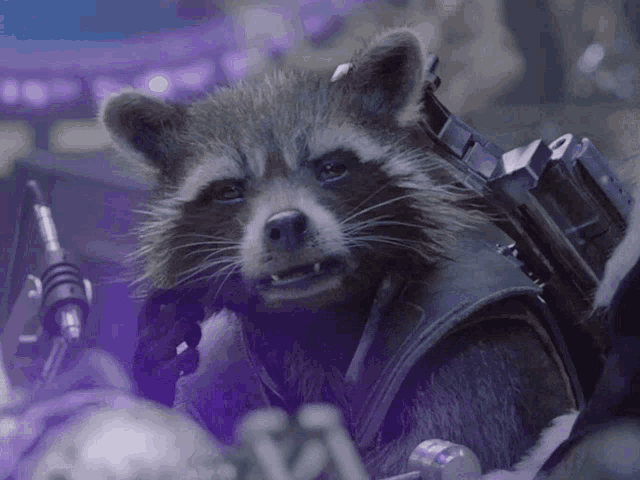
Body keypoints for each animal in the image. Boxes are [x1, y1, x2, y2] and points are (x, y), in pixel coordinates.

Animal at [101, 29, 577, 477]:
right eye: (229, 190)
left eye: (330, 168)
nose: (286, 225)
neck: (315, 312)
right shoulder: (219, 368)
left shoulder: (478, 334)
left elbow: (448, 441)